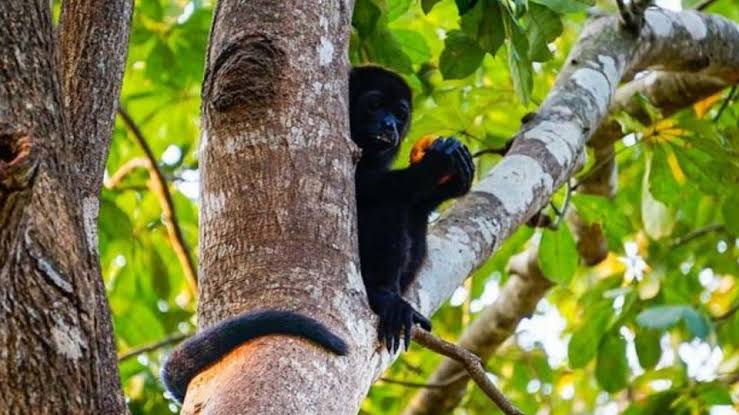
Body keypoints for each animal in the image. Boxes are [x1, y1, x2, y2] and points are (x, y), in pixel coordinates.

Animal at [350, 66, 474, 353]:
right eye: (374, 105)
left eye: (399, 114)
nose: (390, 125)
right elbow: (361, 186)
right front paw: (436, 164)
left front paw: (454, 184)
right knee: (389, 204)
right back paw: (382, 295)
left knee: (413, 217)